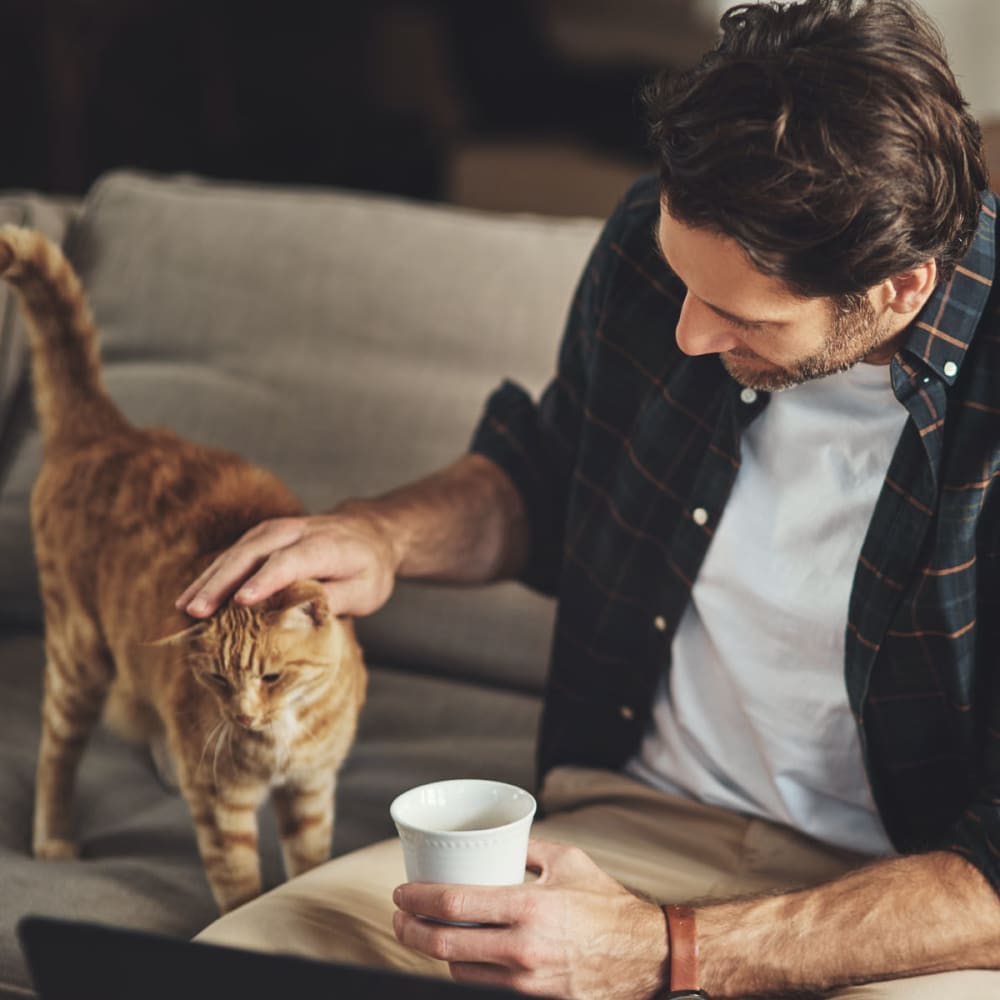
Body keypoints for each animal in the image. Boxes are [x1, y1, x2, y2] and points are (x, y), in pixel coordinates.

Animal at [0, 227, 368, 916]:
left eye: (272, 677)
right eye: (219, 682)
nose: (243, 717)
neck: (279, 738)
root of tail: (109, 430)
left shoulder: (310, 791)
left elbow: (309, 865)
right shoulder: (221, 803)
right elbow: (240, 885)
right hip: (78, 656)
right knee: (56, 754)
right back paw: (54, 837)